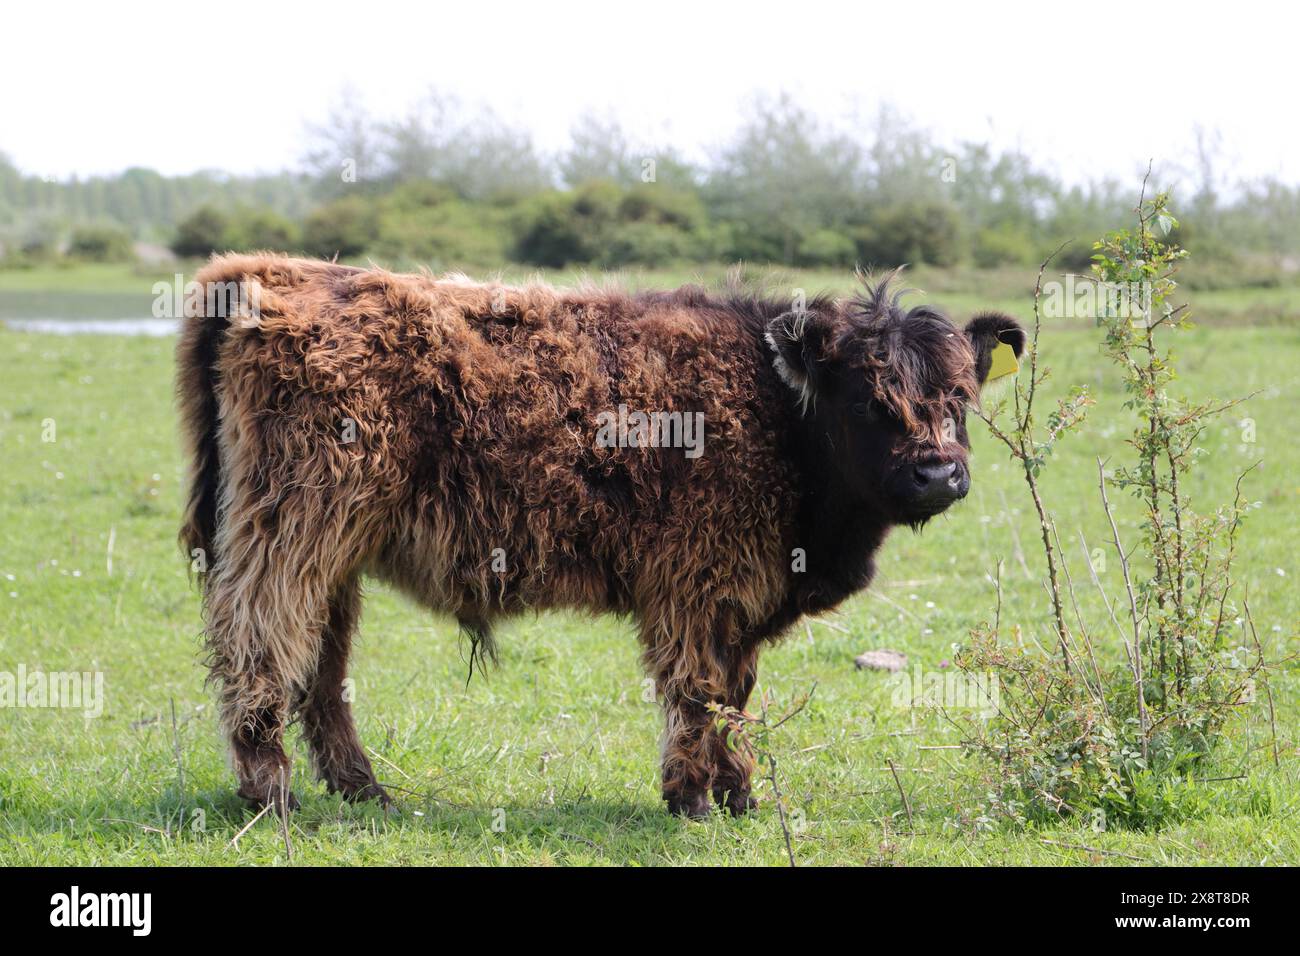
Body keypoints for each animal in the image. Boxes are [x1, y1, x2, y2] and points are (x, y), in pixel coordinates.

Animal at [176, 254, 1025, 818]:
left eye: (961, 396)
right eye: (868, 398)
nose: (937, 475)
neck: (783, 417)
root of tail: (267, 272)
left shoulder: (741, 593)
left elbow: (736, 690)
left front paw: (739, 793)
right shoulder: (697, 581)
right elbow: (699, 689)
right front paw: (692, 799)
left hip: (335, 551)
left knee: (322, 665)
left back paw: (363, 790)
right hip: (291, 533)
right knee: (260, 641)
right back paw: (271, 792)